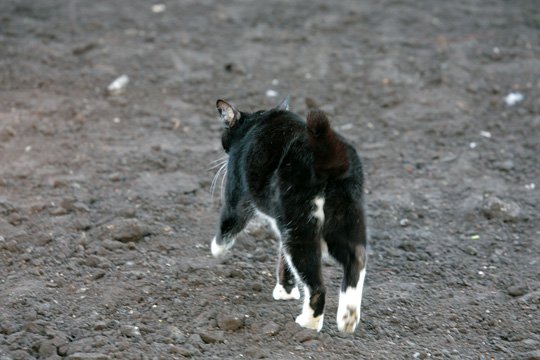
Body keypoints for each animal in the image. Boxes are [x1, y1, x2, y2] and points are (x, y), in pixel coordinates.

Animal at [211, 97, 368, 332]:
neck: (256, 121)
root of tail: (327, 151)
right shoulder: (282, 224)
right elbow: (283, 258)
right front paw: (285, 292)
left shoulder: (237, 191)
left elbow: (230, 222)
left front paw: (217, 249)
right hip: (344, 215)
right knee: (356, 257)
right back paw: (347, 318)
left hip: (300, 223)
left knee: (316, 284)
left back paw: (308, 323)